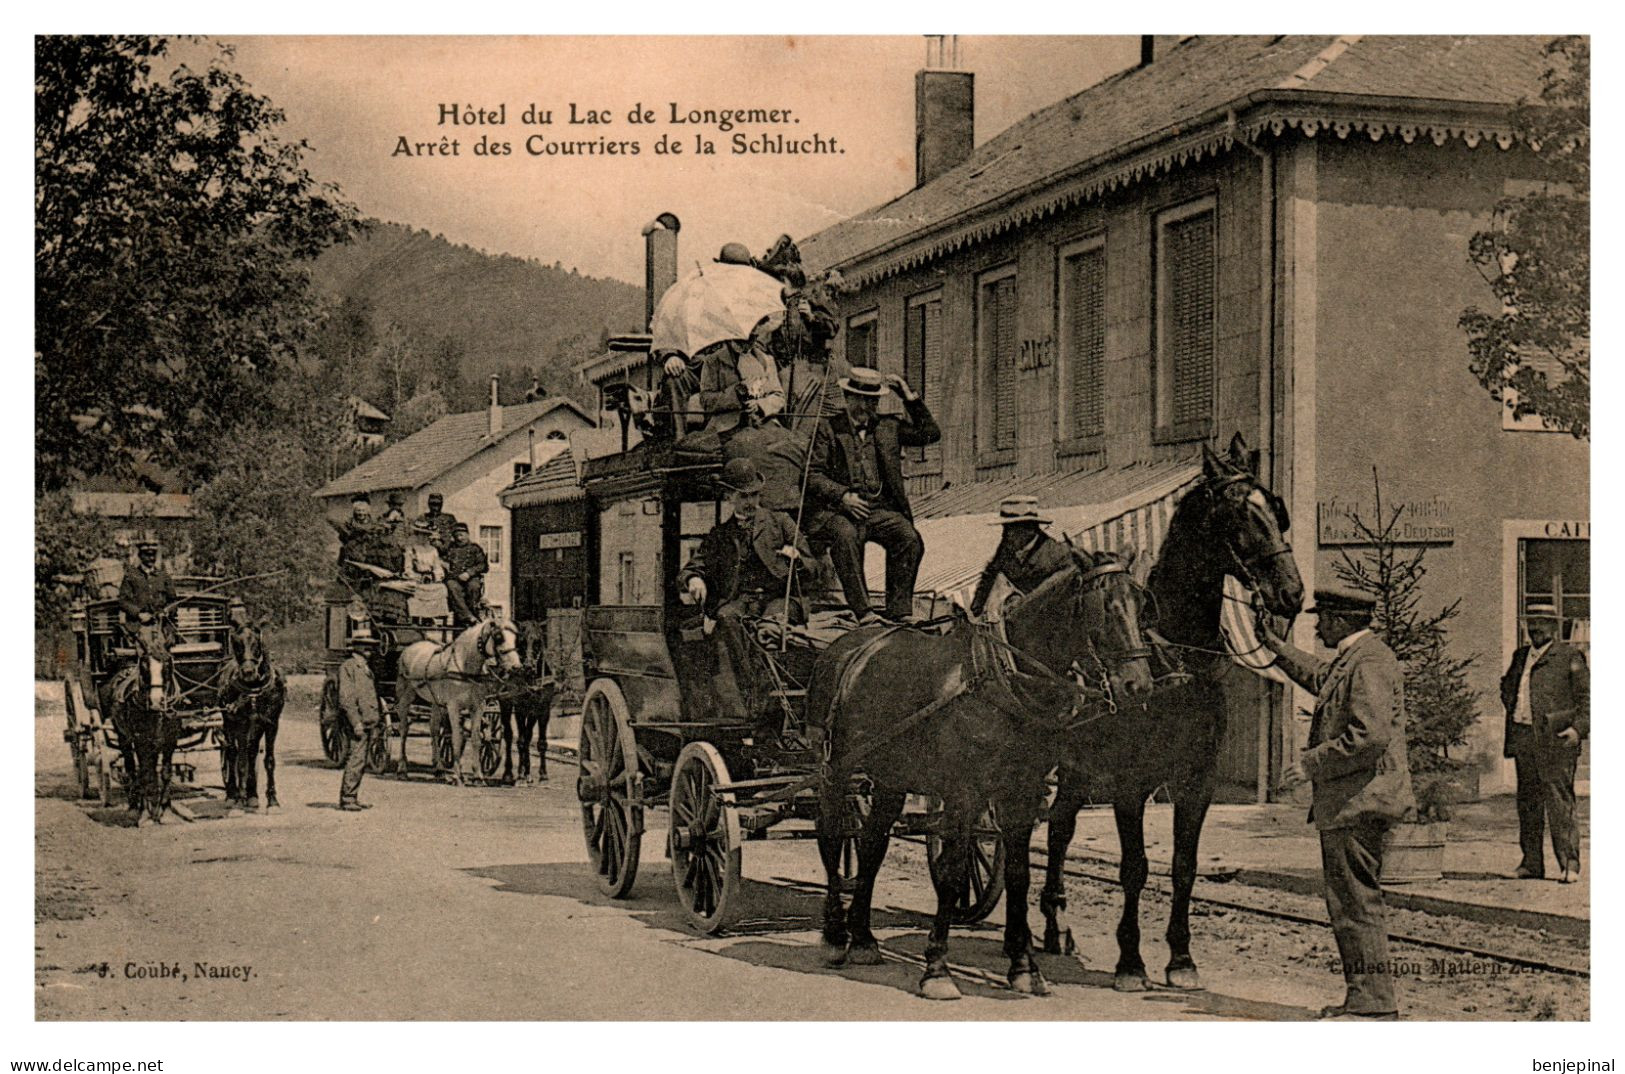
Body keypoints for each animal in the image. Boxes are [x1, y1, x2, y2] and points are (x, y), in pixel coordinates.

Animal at [221, 623, 287, 809]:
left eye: (256, 643)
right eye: (236, 644)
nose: (248, 672)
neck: (255, 690)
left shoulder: (271, 724)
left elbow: (267, 760)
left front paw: (272, 800)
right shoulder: (240, 723)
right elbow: (240, 760)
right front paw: (241, 798)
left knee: (249, 753)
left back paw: (249, 794)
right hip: (229, 723)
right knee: (232, 753)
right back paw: (233, 794)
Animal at [393, 614, 520, 783]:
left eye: (515, 638)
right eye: (499, 637)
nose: (516, 667)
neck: (465, 666)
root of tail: (410, 647)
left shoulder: (478, 706)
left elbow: (476, 738)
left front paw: (478, 776)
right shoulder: (453, 706)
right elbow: (457, 737)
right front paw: (457, 775)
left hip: (436, 702)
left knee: (434, 729)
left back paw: (439, 768)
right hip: (405, 697)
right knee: (404, 729)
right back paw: (402, 768)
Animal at [494, 620, 559, 779]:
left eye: (537, 642)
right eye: (522, 642)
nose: (528, 667)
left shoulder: (543, 708)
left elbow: (539, 741)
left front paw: (541, 773)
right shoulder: (521, 708)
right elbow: (523, 739)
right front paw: (524, 772)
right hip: (506, 704)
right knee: (510, 736)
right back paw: (509, 772)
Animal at [812, 549, 1157, 1000]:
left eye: (1142, 603)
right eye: (1102, 607)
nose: (1139, 686)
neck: (1001, 676)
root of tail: (846, 646)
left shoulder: (1021, 794)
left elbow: (1019, 875)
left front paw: (1025, 967)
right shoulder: (963, 793)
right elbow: (953, 873)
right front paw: (937, 969)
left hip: (891, 776)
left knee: (871, 843)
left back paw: (864, 939)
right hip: (837, 770)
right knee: (833, 838)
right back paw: (836, 936)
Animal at [1040, 432, 1306, 987]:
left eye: (1276, 508)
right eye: (1239, 513)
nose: (1291, 593)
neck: (1177, 659)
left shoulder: (1196, 780)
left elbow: (1184, 866)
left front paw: (1181, 959)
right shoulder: (1129, 782)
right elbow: (1135, 867)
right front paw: (1130, 960)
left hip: (1076, 769)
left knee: (1058, 830)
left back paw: (1057, 928)